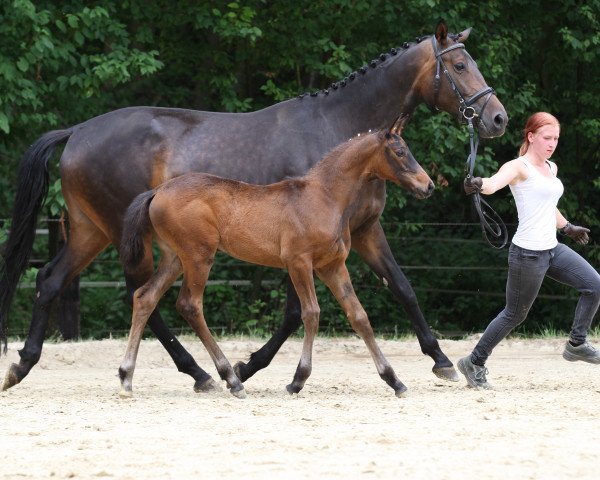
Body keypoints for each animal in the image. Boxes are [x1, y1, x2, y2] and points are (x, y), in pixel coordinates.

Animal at [119, 115, 434, 398]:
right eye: (400, 152)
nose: (428, 185)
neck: (325, 197)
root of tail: (157, 191)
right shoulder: (299, 263)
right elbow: (311, 313)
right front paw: (298, 380)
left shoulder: (332, 266)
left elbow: (359, 316)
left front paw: (394, 380)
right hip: (198, 257)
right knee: (189, 305)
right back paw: (231, 379)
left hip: (175, 258)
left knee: (145, 297)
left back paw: (126, 377)